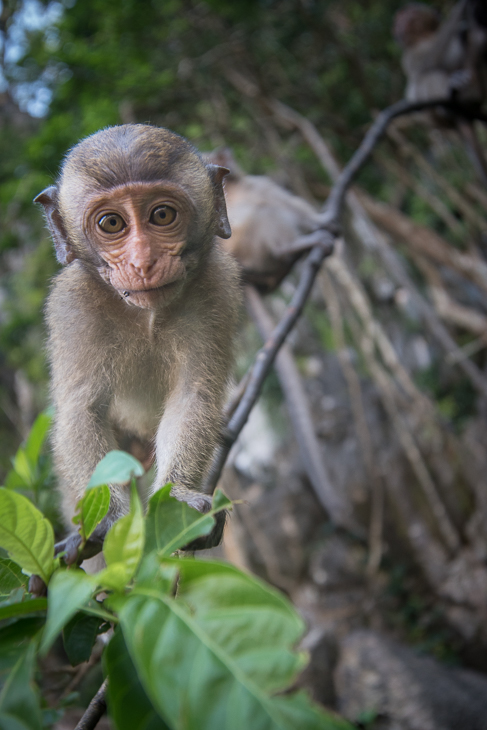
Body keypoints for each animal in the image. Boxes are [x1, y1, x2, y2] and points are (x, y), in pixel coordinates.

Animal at [33, 123, 240, 564]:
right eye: (112, 223)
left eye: (162, 215)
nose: (143, 262)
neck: (145, 315)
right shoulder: (70, 306)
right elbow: (81, 409)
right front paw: (110, 519)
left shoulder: (217, 289)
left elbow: (192, 395)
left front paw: (178, 496)